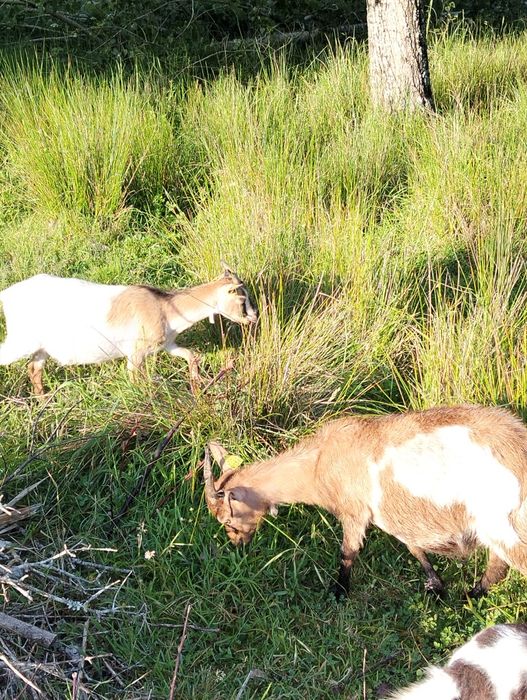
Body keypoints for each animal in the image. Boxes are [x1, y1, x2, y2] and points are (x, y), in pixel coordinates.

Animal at [0, 265, 257, 395]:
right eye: (242, 298)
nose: (254, 316)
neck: (165, 307)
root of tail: (7, 295)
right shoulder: (137, 351)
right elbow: (135, 379)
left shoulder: (166, 343)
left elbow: (190, 354)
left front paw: (197, 382)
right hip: (20, 341)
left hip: (40, 347)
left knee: (34, 368)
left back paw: (42, 398)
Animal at [204, 405, 527, 598]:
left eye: (228, 519)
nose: (237, 543)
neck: (318, 461)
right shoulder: (391, 514)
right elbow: (413, 546)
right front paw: (435, 585)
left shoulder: (354, 512)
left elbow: (348, 552)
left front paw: (338, 591)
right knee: (497, 568)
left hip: (505, 527)